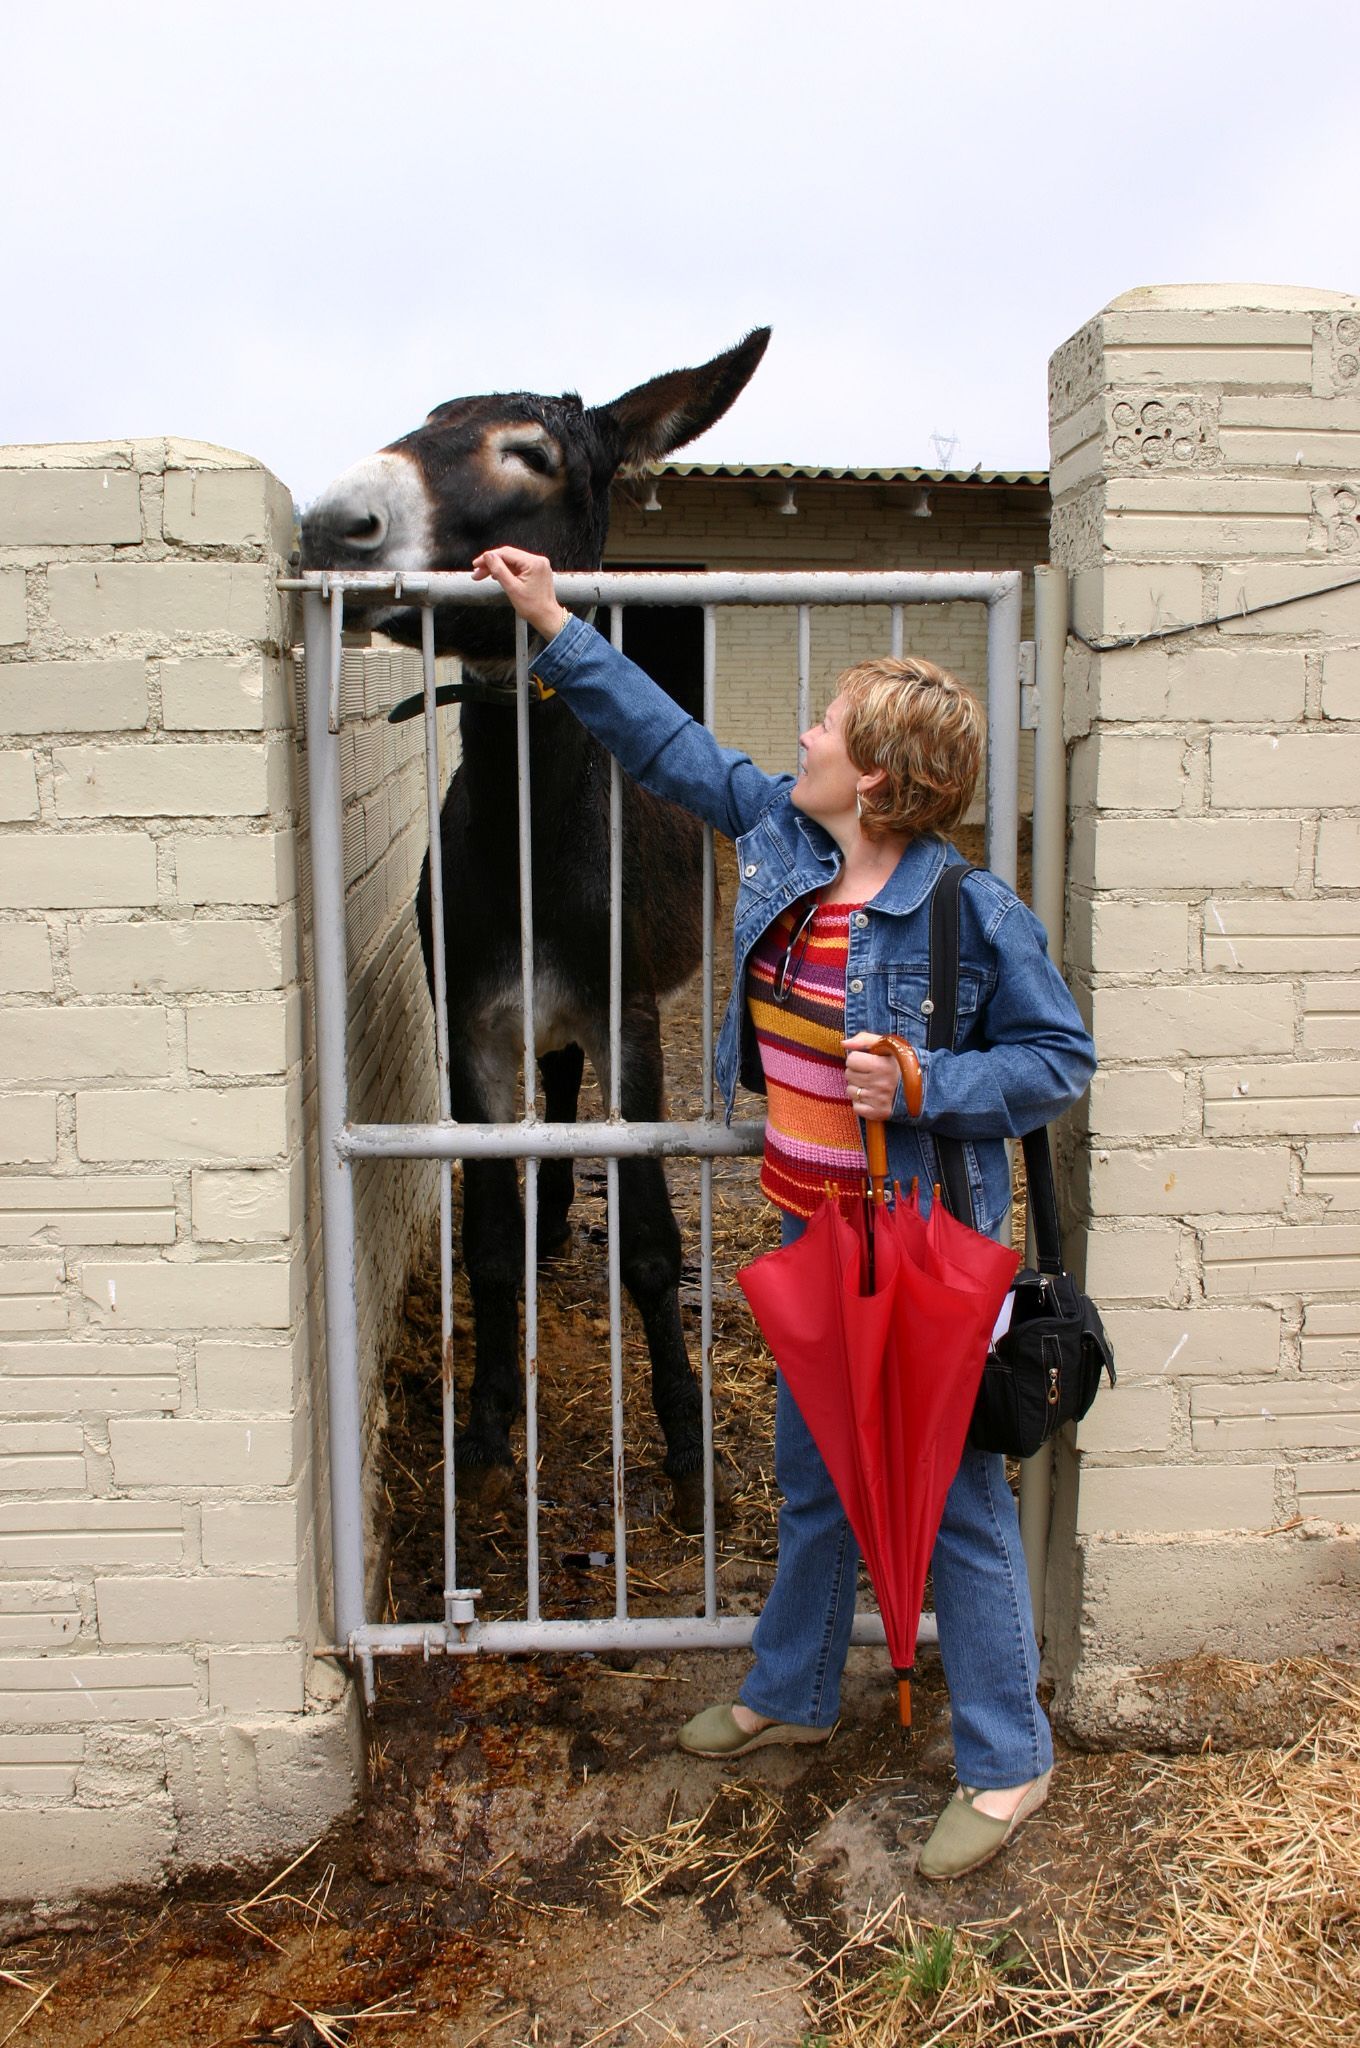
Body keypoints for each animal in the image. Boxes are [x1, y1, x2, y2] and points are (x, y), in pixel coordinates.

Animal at [301, 330, 770, 1530]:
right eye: (421, 421)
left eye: (533, 454)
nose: (330, 524)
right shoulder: (468, 1024)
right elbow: (486, 1248)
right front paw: (486, 1436)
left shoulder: (628, 1016)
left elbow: (649, 1247)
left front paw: (687, 1451)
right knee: (552, 1099)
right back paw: (554, 1214)